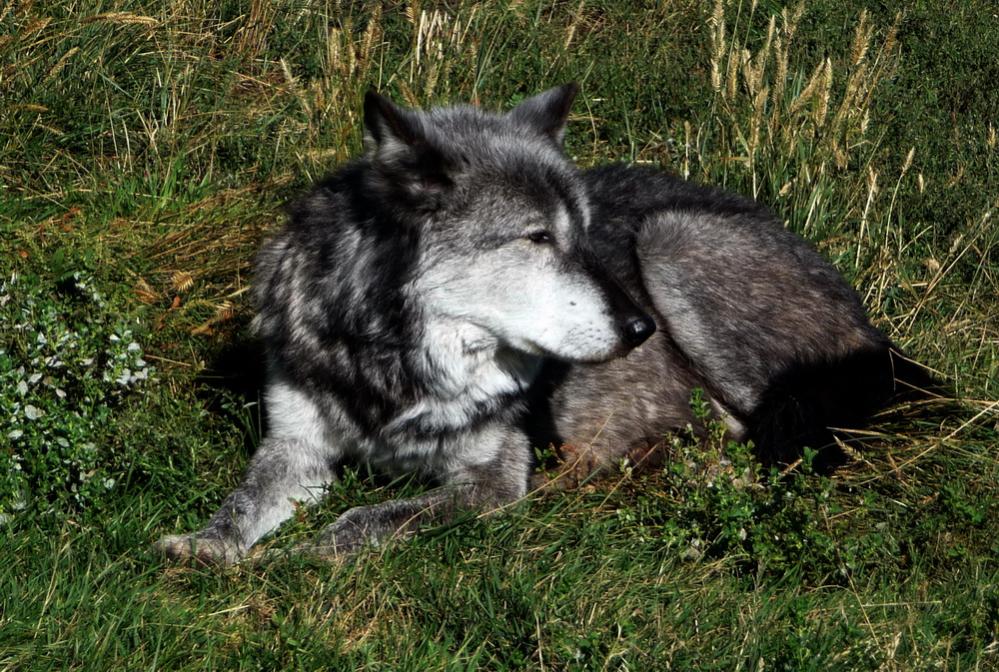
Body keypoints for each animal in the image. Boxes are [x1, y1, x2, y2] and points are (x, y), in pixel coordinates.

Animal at [155, 84, 930, 564]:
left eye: (581, 236)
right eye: (537, 239)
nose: (641, 329)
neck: (397, 362)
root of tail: (880, 337)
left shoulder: (493, 477)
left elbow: (366, 518)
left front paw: (300, 558)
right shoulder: (295, 447)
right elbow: (243, 500)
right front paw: (206, 546)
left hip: (669, 239)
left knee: (783, 445)